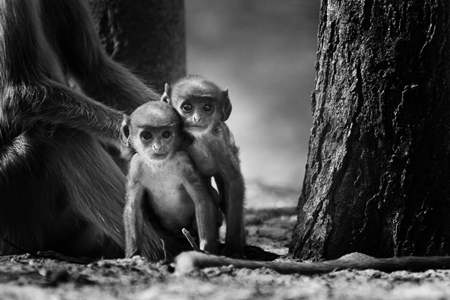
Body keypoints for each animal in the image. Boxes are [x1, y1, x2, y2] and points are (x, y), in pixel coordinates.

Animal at [120, 101, 221, 258]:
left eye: (166, 134)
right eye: (146, 135)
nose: (157, 147)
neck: (160, 165)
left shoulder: (184, 161)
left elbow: (202, 199)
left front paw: (206, 249)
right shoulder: (136, 164)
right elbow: (133, 206)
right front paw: (133, 255)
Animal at [162, 75, 246, 258]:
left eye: (207, 107)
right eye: (187, 107)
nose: (197, 118)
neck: (197, 138)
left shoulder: (218, 144)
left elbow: (233, 181)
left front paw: (233, 248)